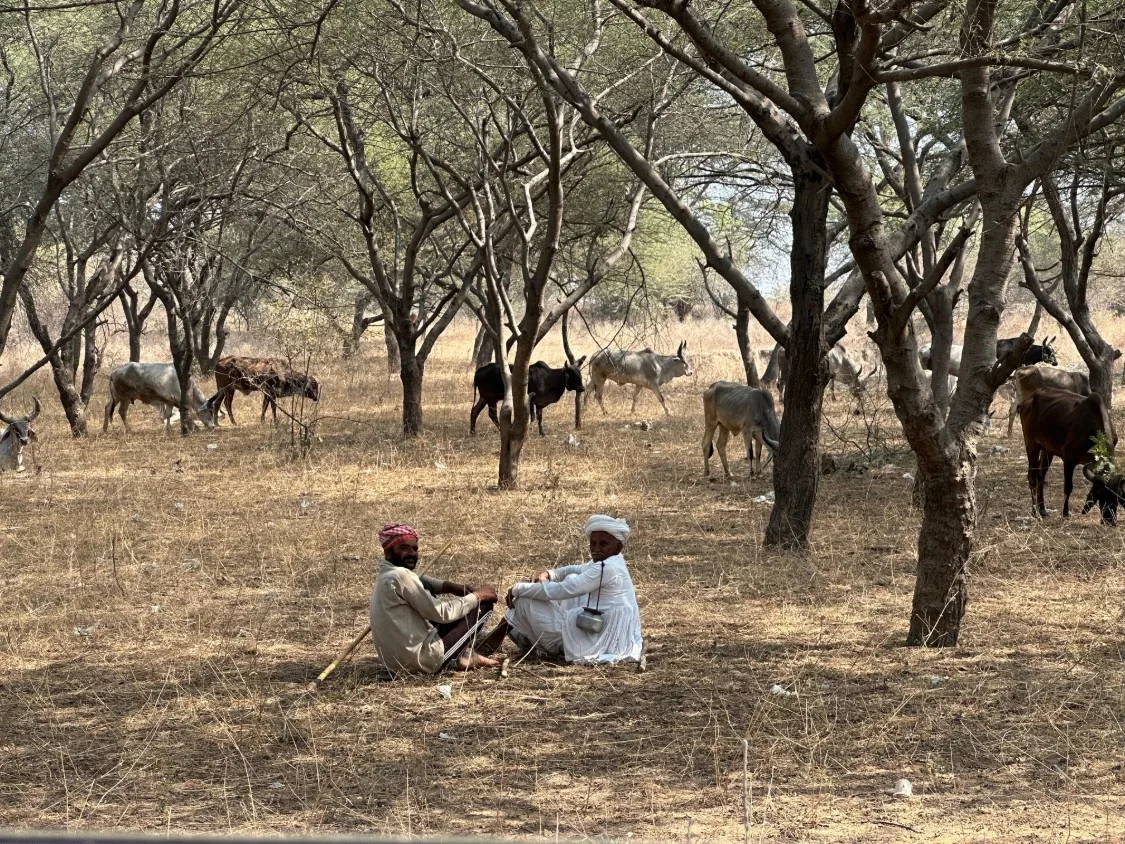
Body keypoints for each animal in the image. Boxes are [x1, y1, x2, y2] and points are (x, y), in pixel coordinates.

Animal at [1018, 387, 1123, 523]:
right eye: (1100, 492)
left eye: (1117, 494)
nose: (1110, 520)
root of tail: (1028, 400)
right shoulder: (1068, 459)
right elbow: (1068, 487)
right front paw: (1065, 513)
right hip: (1031, 445)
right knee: (1032, 477)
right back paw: (1035, 512)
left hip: (1047, 451)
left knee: (1041, 476)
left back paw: (1043, 510)